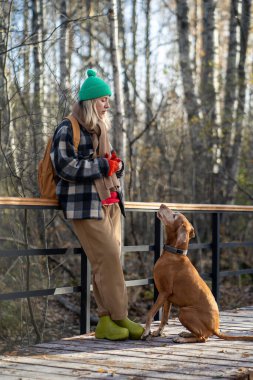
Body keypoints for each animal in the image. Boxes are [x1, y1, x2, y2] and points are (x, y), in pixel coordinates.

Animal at [141, 206, 253, 342]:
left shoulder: (163, 292)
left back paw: (183, 339)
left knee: (202, 337)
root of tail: (215, 328)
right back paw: (185, 333)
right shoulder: (167, 297)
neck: (175, 253)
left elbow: (150, 313)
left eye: (174, 215)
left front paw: (146, 332)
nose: (162, 205)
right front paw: (158, 332)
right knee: (200, 334)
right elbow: (164, 318)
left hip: (184, 312)